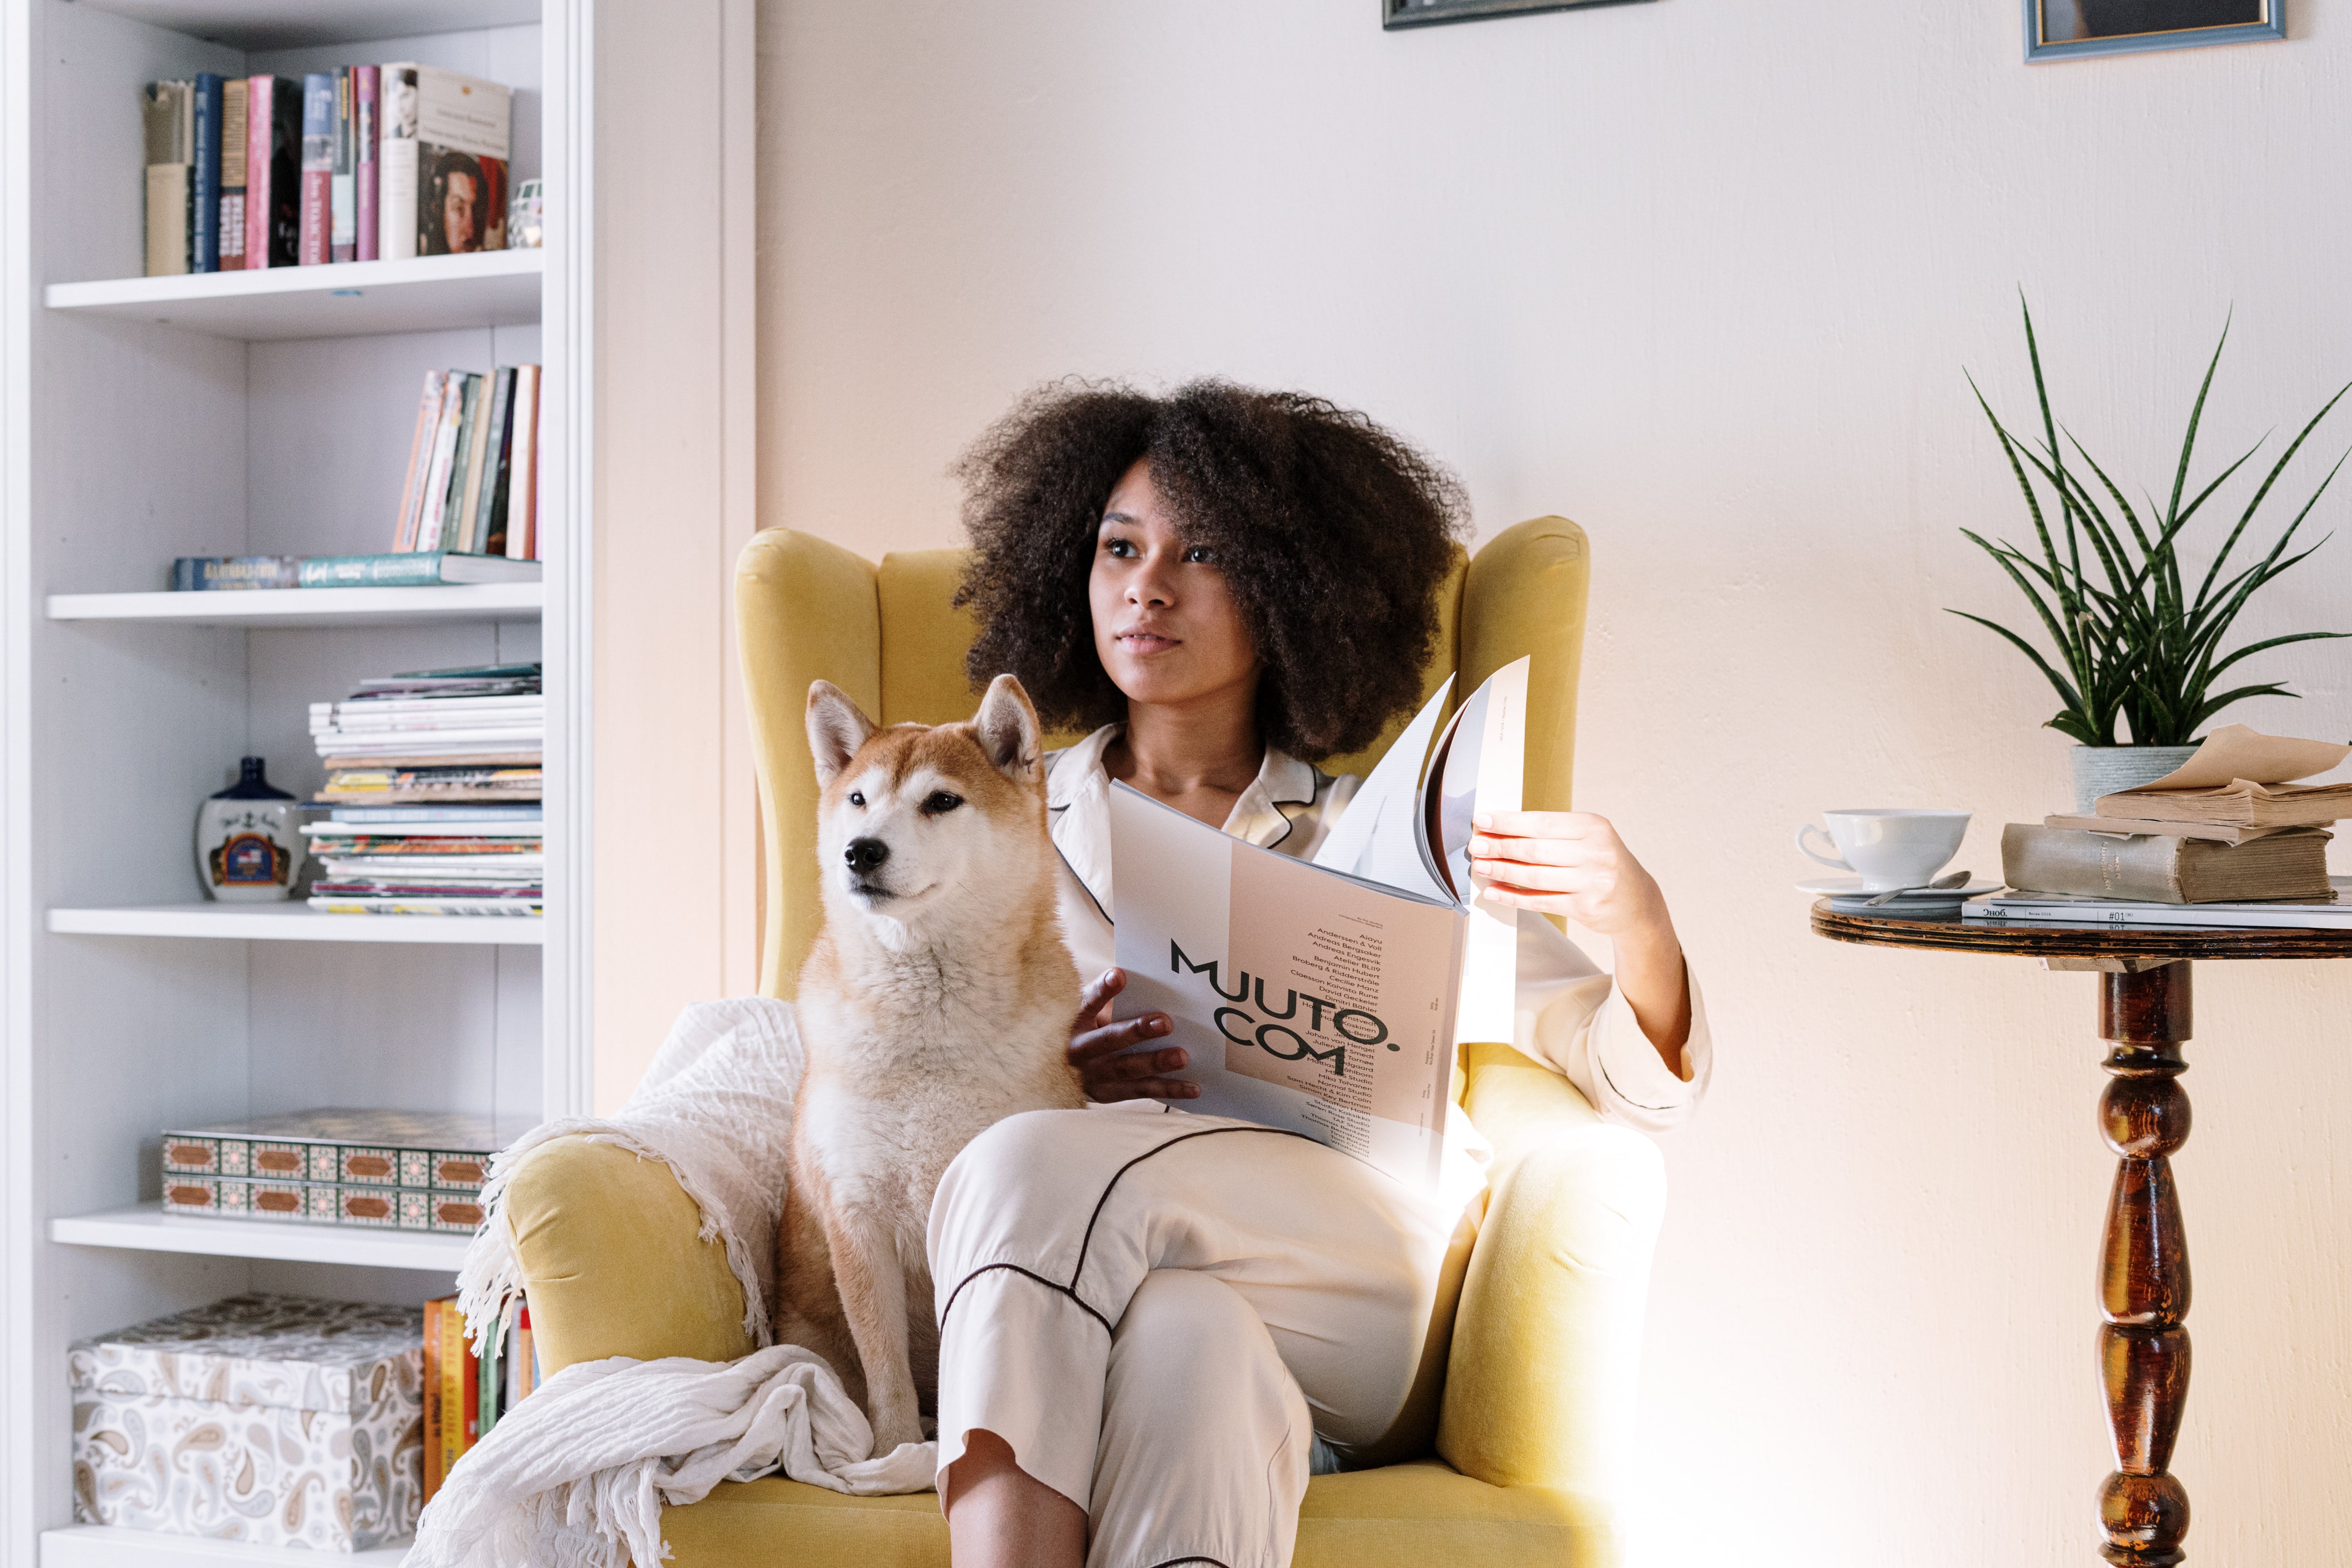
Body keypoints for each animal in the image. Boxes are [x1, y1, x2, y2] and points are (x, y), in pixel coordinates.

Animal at [781, 668, 1091, 1457]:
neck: (930, 1038)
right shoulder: (857, 1217)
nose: (861, 851)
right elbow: (884, 1366)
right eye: (859, 799)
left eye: (941, 801)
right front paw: (897, 1451)